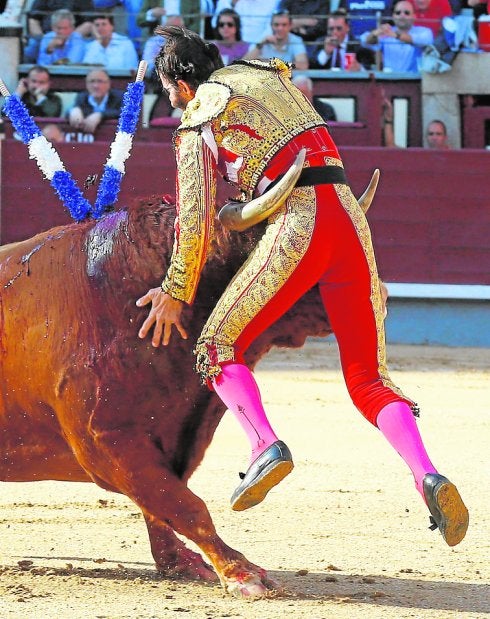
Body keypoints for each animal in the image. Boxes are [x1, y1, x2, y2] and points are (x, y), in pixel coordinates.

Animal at [0, 196, 334, 600]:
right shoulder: (107, 442)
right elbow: (184, 504)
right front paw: (242, 573)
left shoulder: (175, 436)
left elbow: (163, 502)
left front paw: (181, 563)